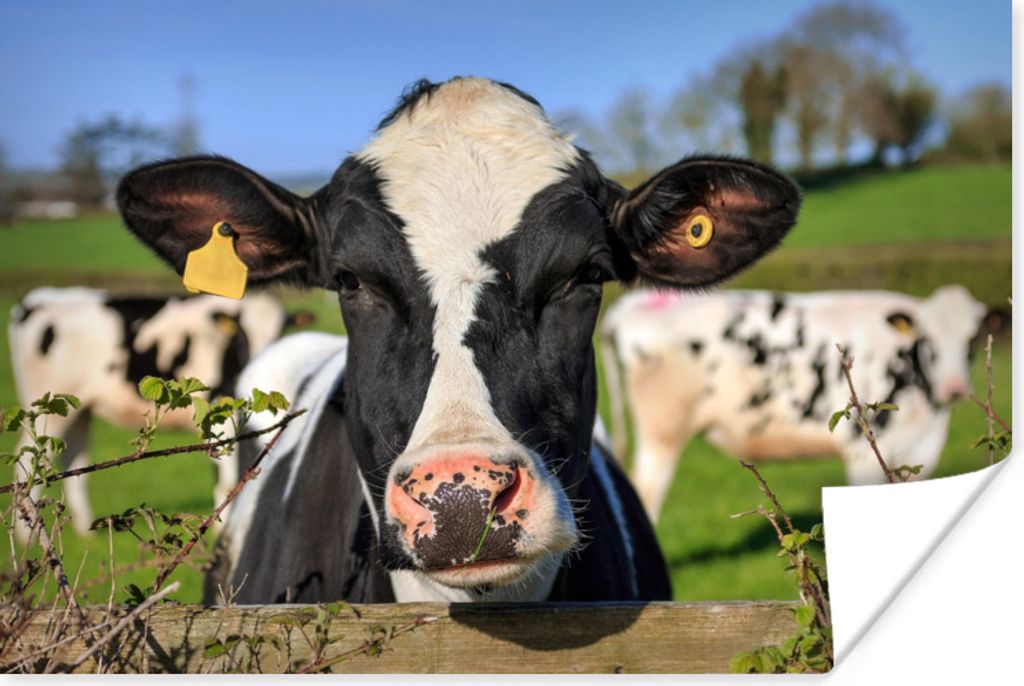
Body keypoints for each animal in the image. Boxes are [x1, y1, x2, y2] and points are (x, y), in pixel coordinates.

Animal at [9, 287, 306, 540]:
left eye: (281, 333)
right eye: (240, 335)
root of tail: (41, 298)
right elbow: (228, 480)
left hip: (79, 410)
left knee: (74, 457)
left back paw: (84, 532)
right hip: (47, 407)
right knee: (31, 459)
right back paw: (27, 537)